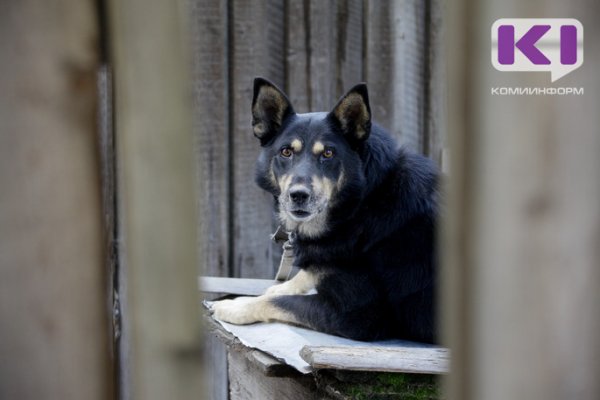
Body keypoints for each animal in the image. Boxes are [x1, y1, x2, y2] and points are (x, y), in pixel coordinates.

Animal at [211, 77, 440, 344]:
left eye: (328, 153)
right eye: (286, 152)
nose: (298, 195)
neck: (362, 204)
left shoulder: (360, 315)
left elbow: (280, 302)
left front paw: (236, 306)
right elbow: (303, 276)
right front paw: (280, 286)